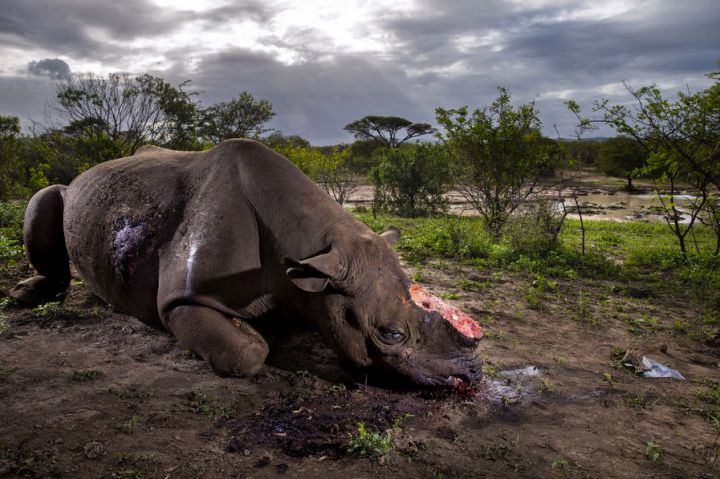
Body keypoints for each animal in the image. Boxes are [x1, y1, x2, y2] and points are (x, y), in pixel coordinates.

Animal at [11, 139, 483, 387]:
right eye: (390, 334)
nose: (471, 377)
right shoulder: (182, 299)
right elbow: (246, 352)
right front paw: (256, 334)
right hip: (72, 193)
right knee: (46, 196)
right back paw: (25, 296)